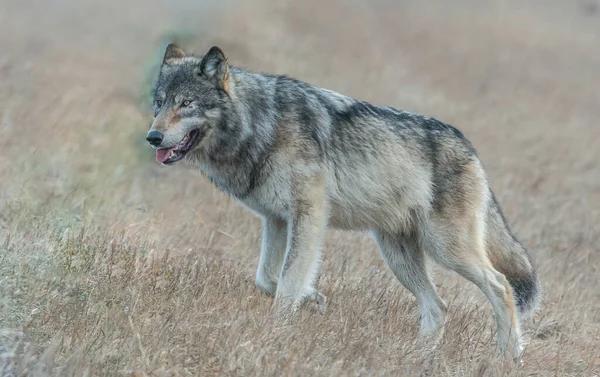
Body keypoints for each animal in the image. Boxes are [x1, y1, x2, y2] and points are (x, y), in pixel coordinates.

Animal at [146, 42, 544, 356]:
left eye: (187, 103)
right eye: (159, 103)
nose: (152, 137)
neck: (260, 125)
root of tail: (470, 148)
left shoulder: (309, 215)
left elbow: (288, 281)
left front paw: (275, 333)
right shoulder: (276, 220)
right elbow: (268, 279)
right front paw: (313, 300)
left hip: (446, 249)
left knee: (500, 285)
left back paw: (510, 354)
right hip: (398, 255)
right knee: (439, 306)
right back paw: (417, 358)